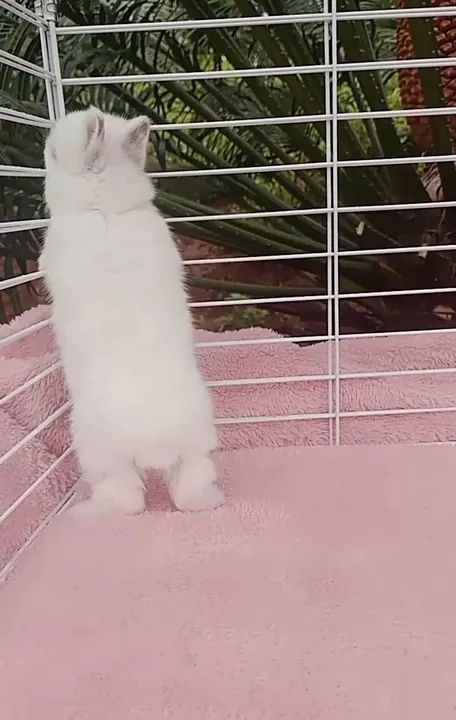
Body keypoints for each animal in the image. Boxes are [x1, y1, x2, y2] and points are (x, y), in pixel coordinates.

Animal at [39, 107, 225, 515]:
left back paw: (96, 509)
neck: (106, 208)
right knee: (189, 489)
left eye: (55, 155)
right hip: (197, 446)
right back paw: (212, 501)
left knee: (129, 500)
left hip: (100, 456)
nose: (44, 150)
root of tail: (155, 442)